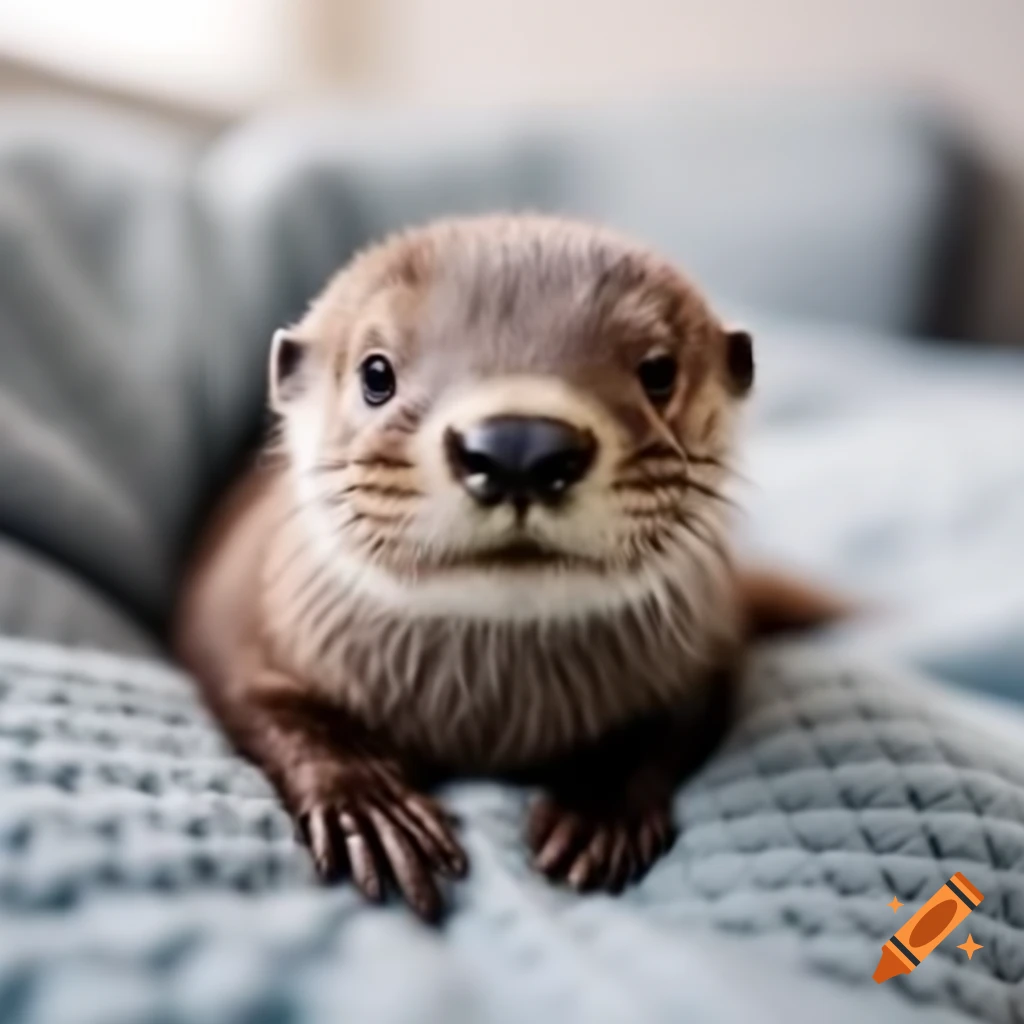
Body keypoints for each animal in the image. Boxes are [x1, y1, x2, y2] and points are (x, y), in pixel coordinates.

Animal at [174, 214, 845, 921]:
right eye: (376, 372)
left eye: (658, 371)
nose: (519, 444)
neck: (487, 721)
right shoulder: (233, 605)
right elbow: (263, 701)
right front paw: (372, 811)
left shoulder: (710, 641)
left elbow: (677, 719)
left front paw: (596, 811)